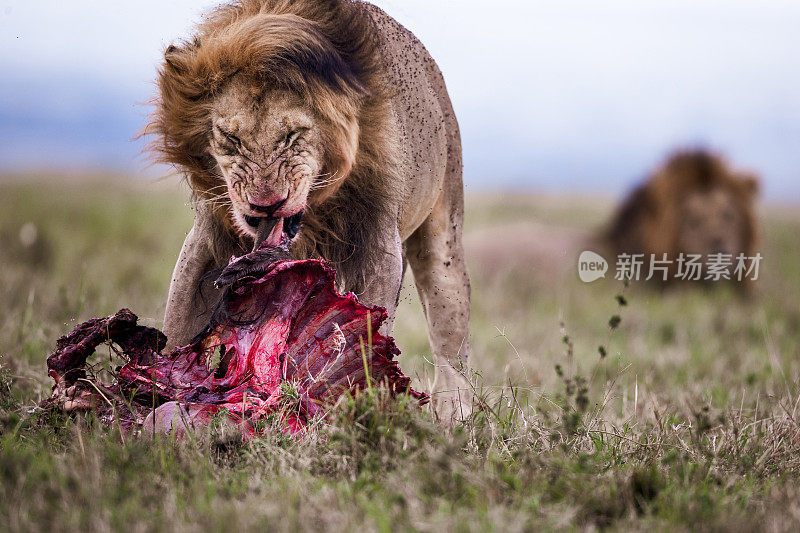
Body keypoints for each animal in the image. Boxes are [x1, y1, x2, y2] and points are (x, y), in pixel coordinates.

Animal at [145, 1, 472, 420]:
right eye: (231, 138)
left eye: (292, 136)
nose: (266, 204)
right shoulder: (207, 237)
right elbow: (179, 321)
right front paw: (157, 391)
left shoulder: (380, 244)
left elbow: (368, 332)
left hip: (444, 244)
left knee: (451, 345)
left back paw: (455, 418)